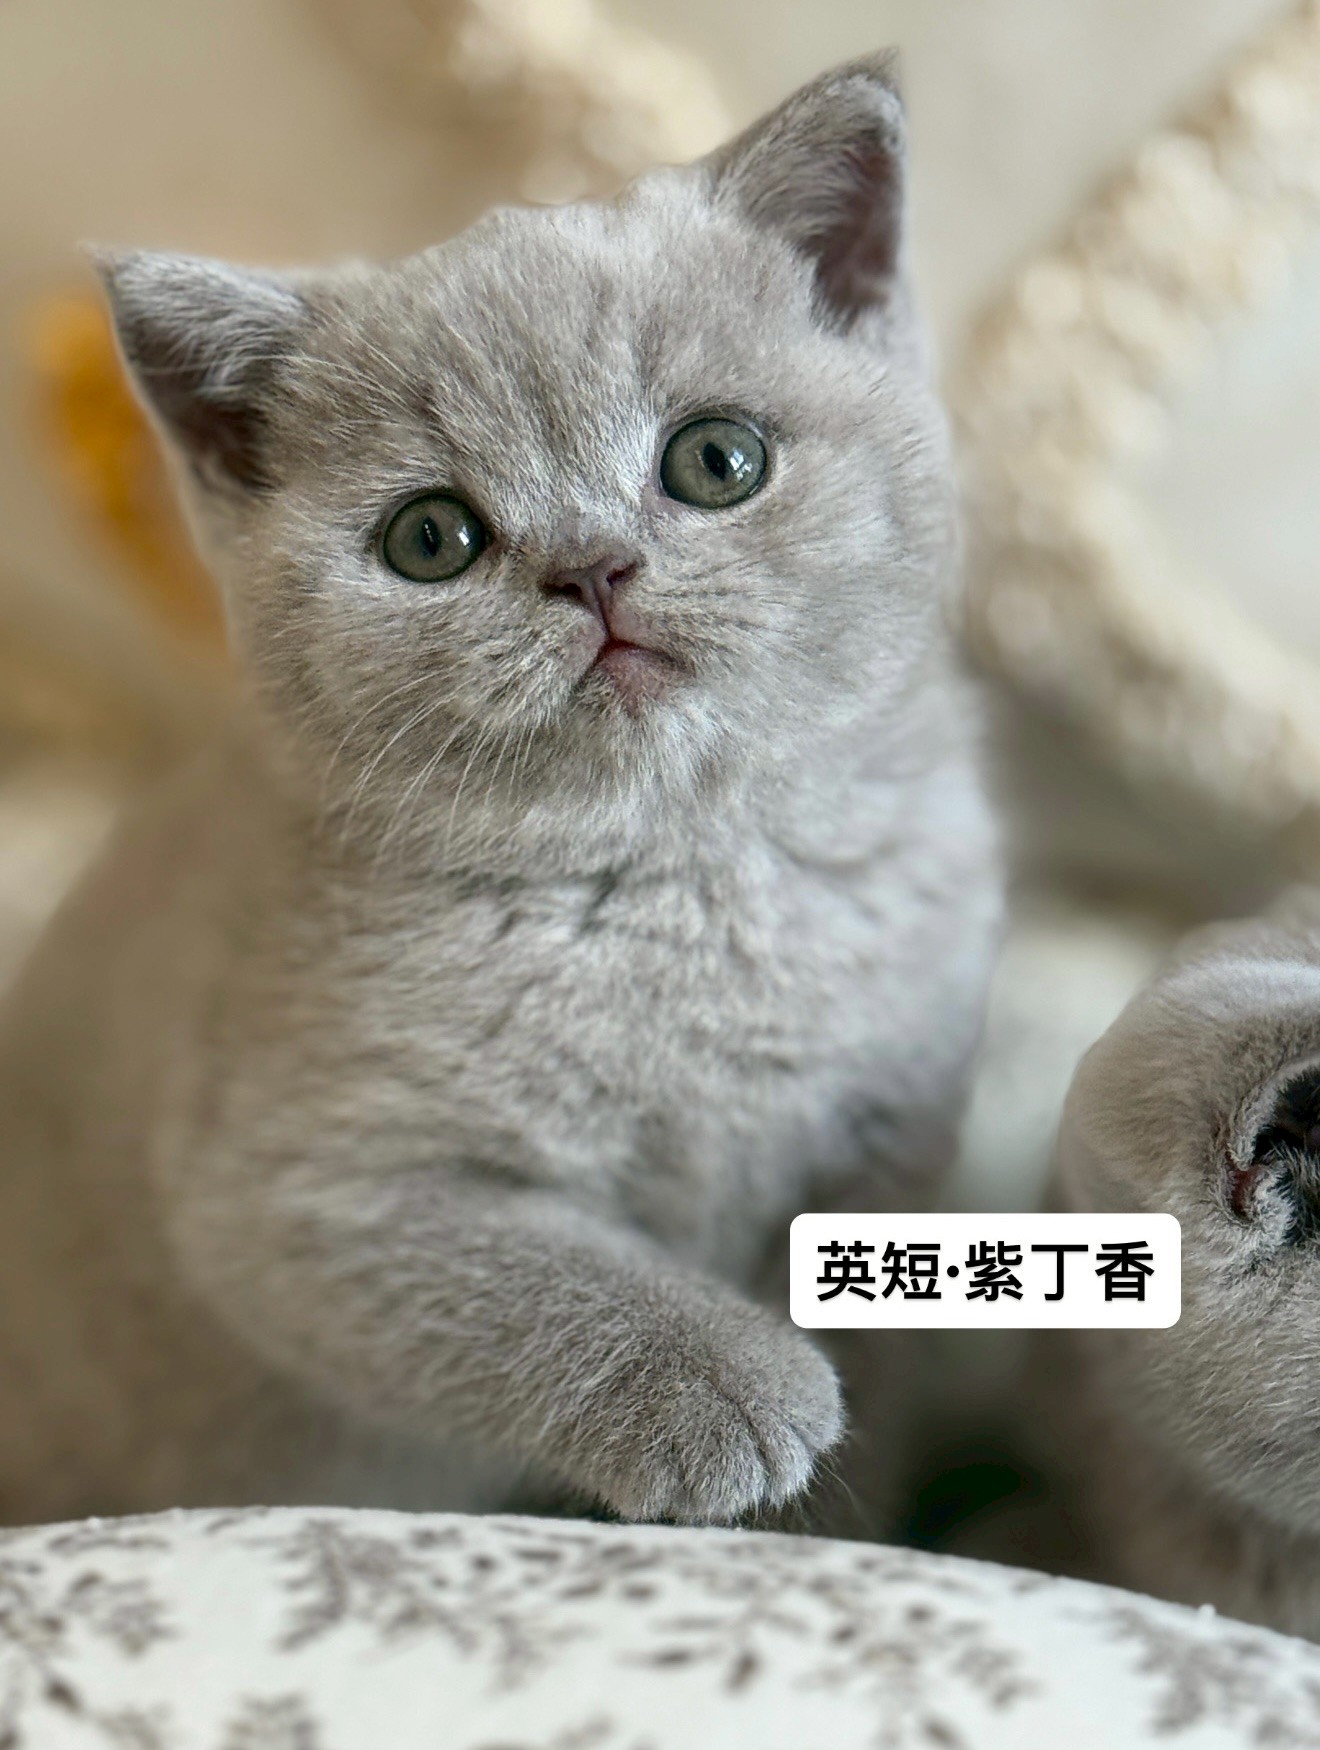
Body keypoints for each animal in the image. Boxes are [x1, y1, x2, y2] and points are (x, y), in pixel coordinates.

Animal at [0, 55, 999, 1529]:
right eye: (431, 537)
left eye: (717, 459)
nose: (591, 566)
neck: (684, 876)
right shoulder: (292, 1190)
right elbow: (527, 1278)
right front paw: (725, 1385)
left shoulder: (895, 1147)